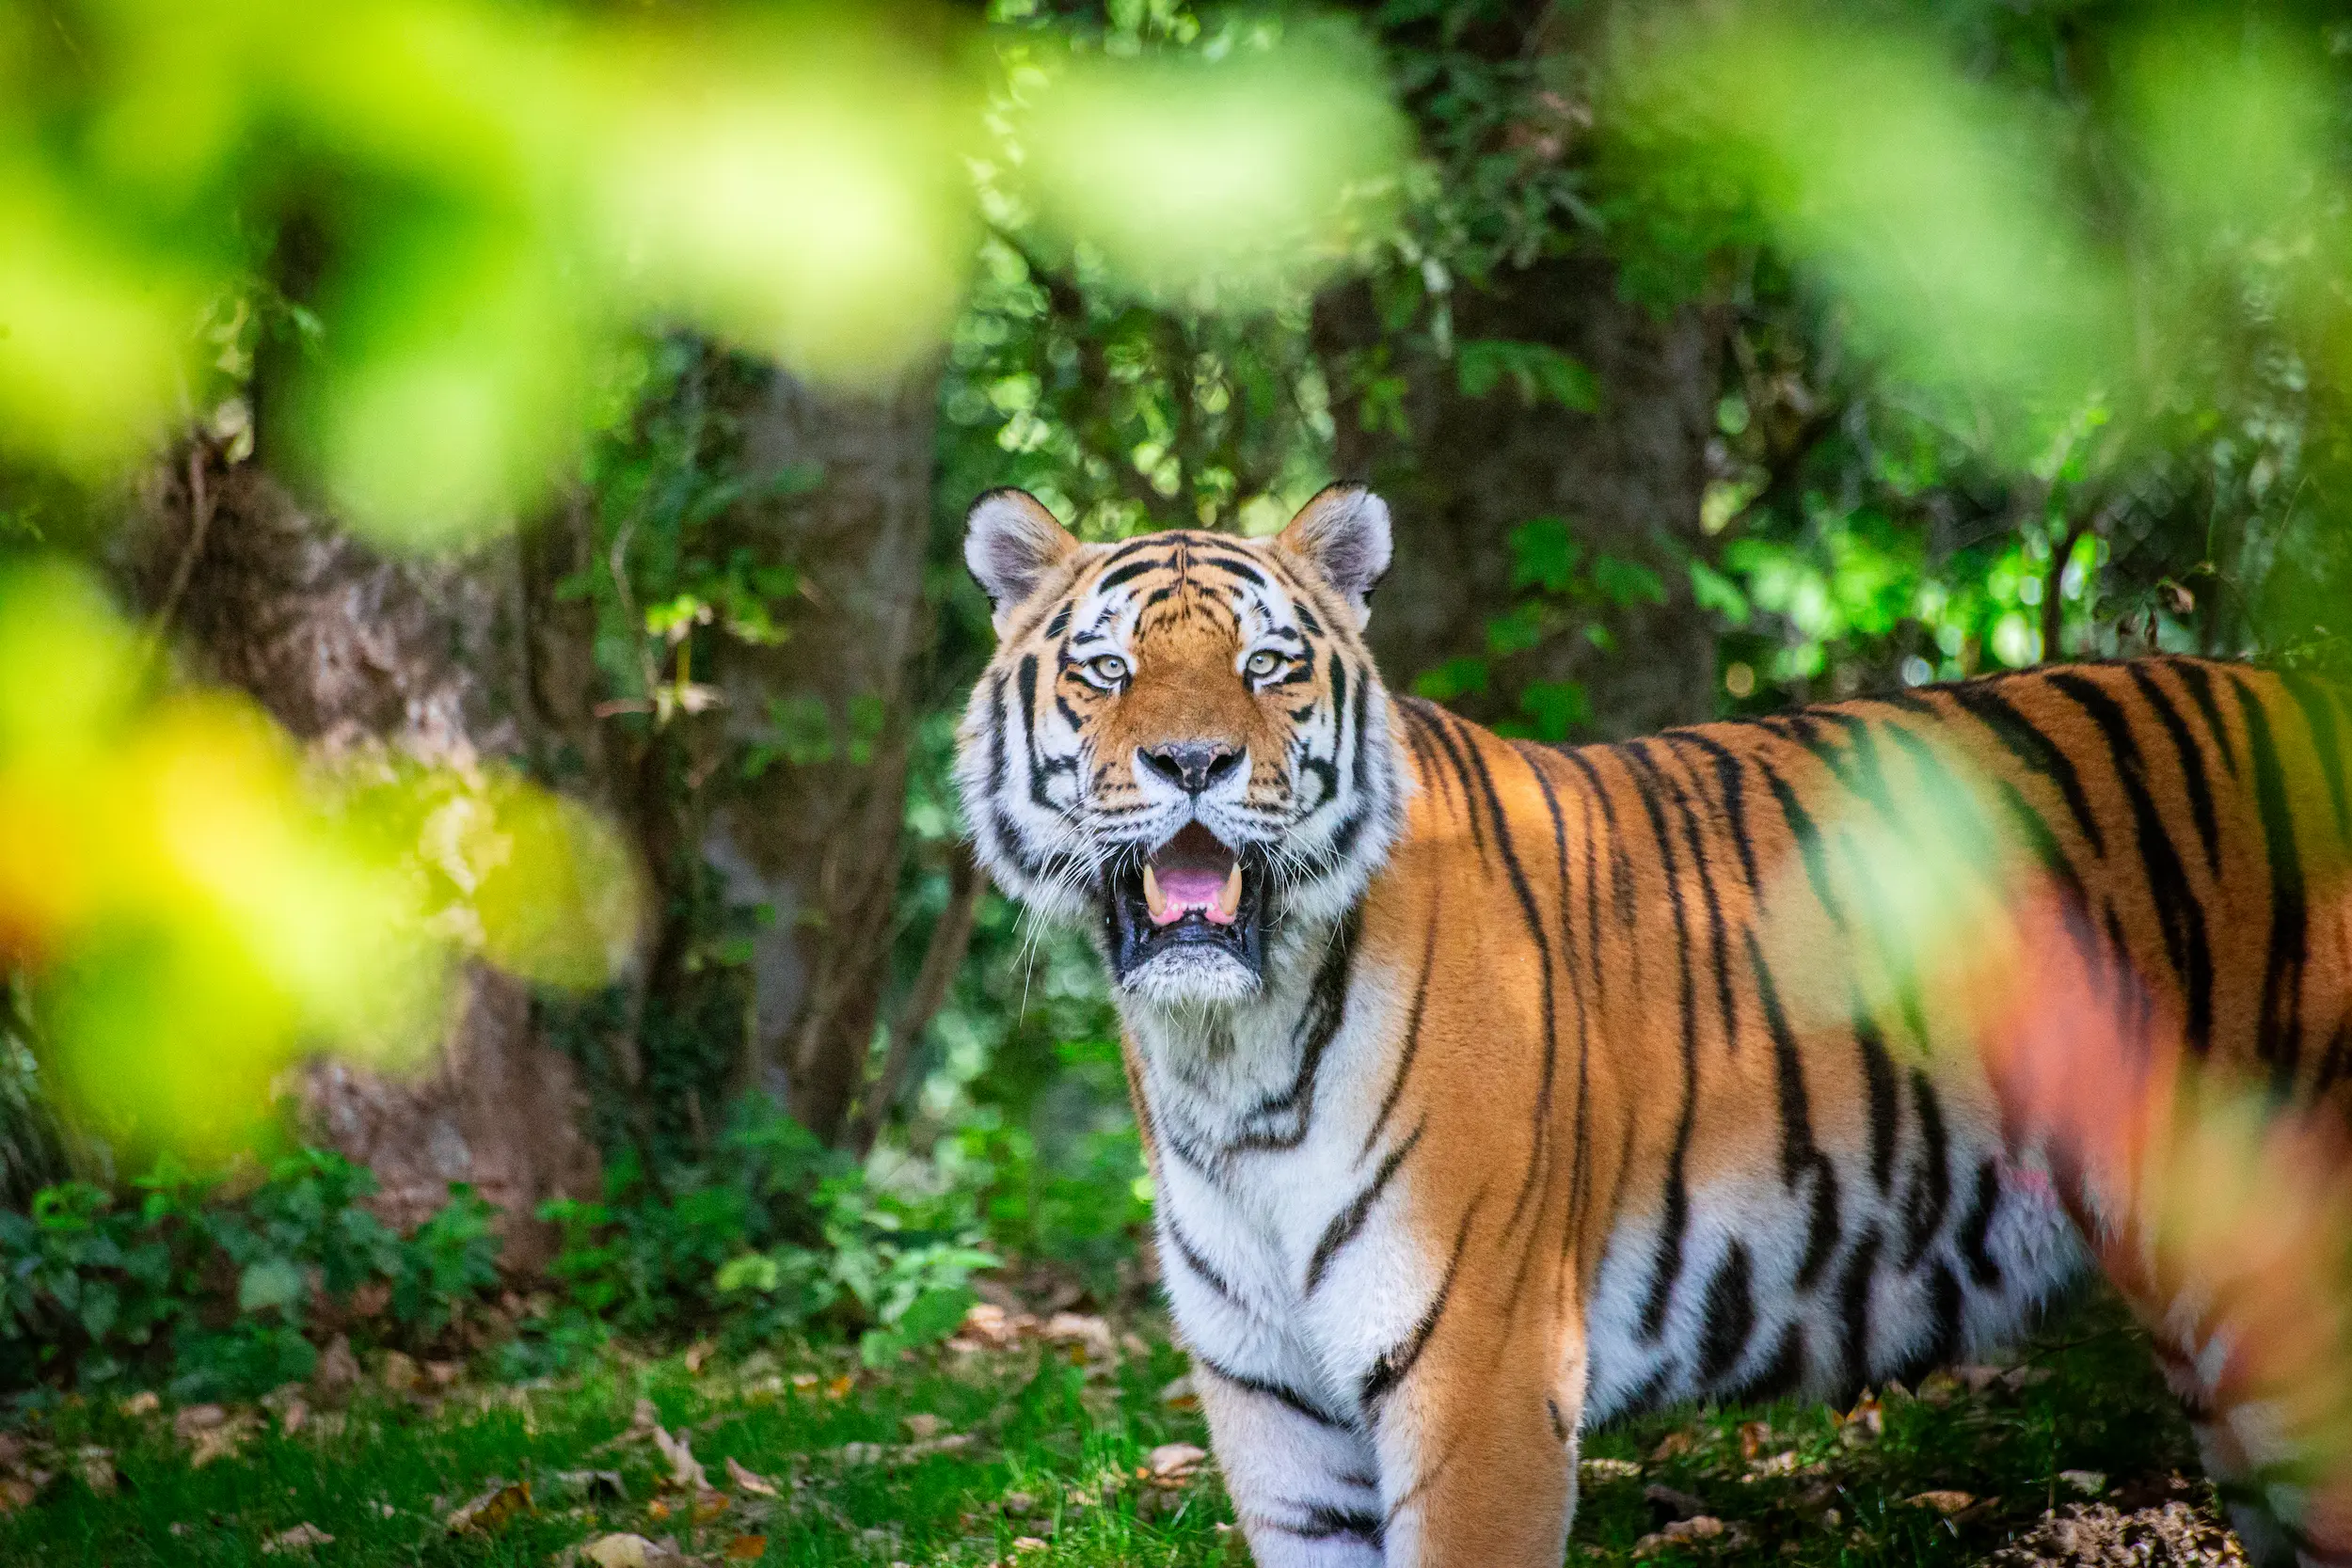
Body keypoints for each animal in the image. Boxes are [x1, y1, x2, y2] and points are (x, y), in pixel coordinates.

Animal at [955, 481, 2352, 1568]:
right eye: (1106, 668)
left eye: (1266, 665)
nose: (1194, 762)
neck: (1230, 1052)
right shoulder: (1276, 1410)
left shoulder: (1483, 1377)